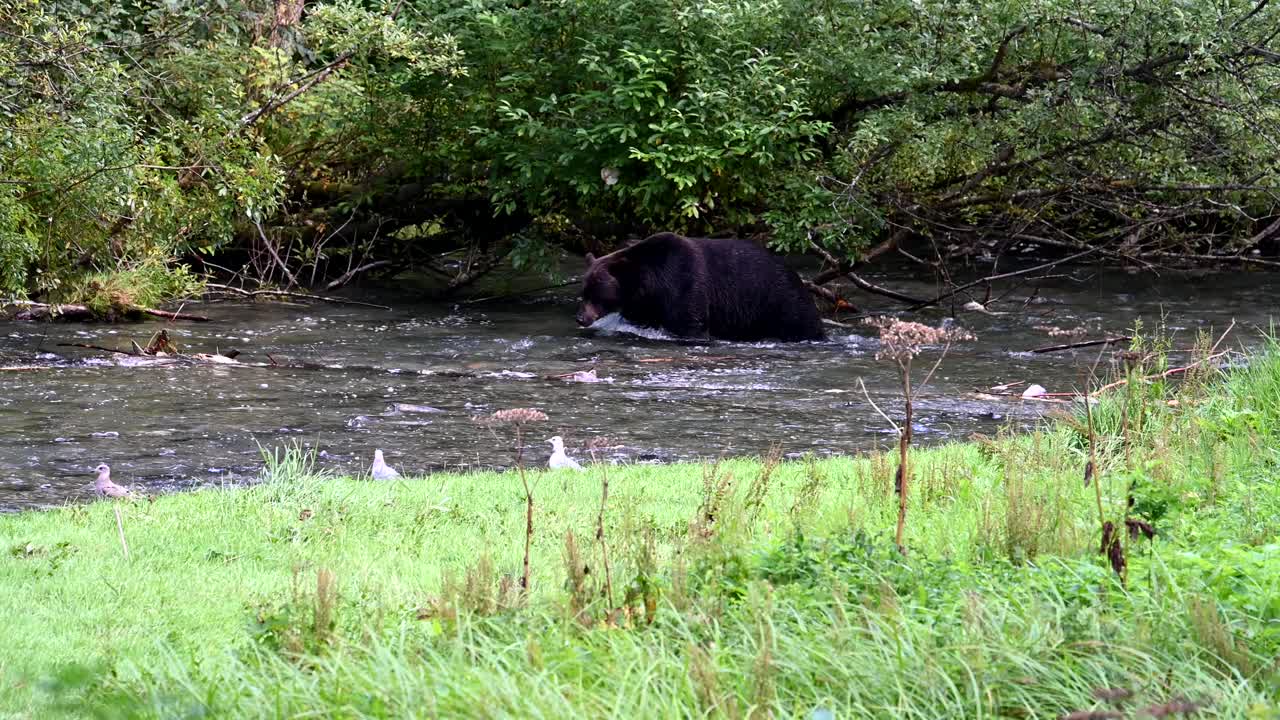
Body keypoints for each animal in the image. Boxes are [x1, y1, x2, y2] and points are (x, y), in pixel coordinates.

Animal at [576, 230, 824, 340]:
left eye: (596, 294)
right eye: (583, 293)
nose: (580, 318)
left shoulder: (685, 282)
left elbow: (689, 322)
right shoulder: (645, 305)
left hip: (779, 300)